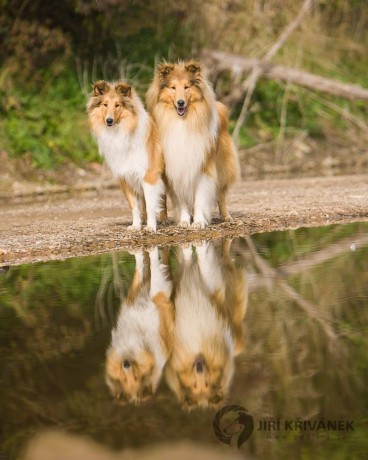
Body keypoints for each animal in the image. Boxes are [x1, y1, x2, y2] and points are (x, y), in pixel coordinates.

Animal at [87, 79, 165, 232]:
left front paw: (151, 227)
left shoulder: (149, 175)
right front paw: (136, 225)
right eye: (105, 104)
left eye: (118, 105)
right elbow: (134, 205)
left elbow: (150, 204)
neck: (121, 132)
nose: (109, 121)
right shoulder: (126, 176)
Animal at [105, 250, 175, 404]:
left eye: (136, 376)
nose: (126, 364)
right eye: (123, 378)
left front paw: (152, 251)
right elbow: (140, 268)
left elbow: (153, 268)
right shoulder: (134, 295)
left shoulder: (157, 296)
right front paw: (140, 253)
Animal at [145, 59, 240, 228]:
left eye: (186, 87)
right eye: (173, 87)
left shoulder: (203, 167)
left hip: (223, 166)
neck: (183, 122)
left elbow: (200, 198)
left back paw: (226, 217)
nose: (180, 102)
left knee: (221, 195)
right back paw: (163, 218)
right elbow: (181, 200)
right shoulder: (176, 169)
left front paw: (199, 221)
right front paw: (184, 221)